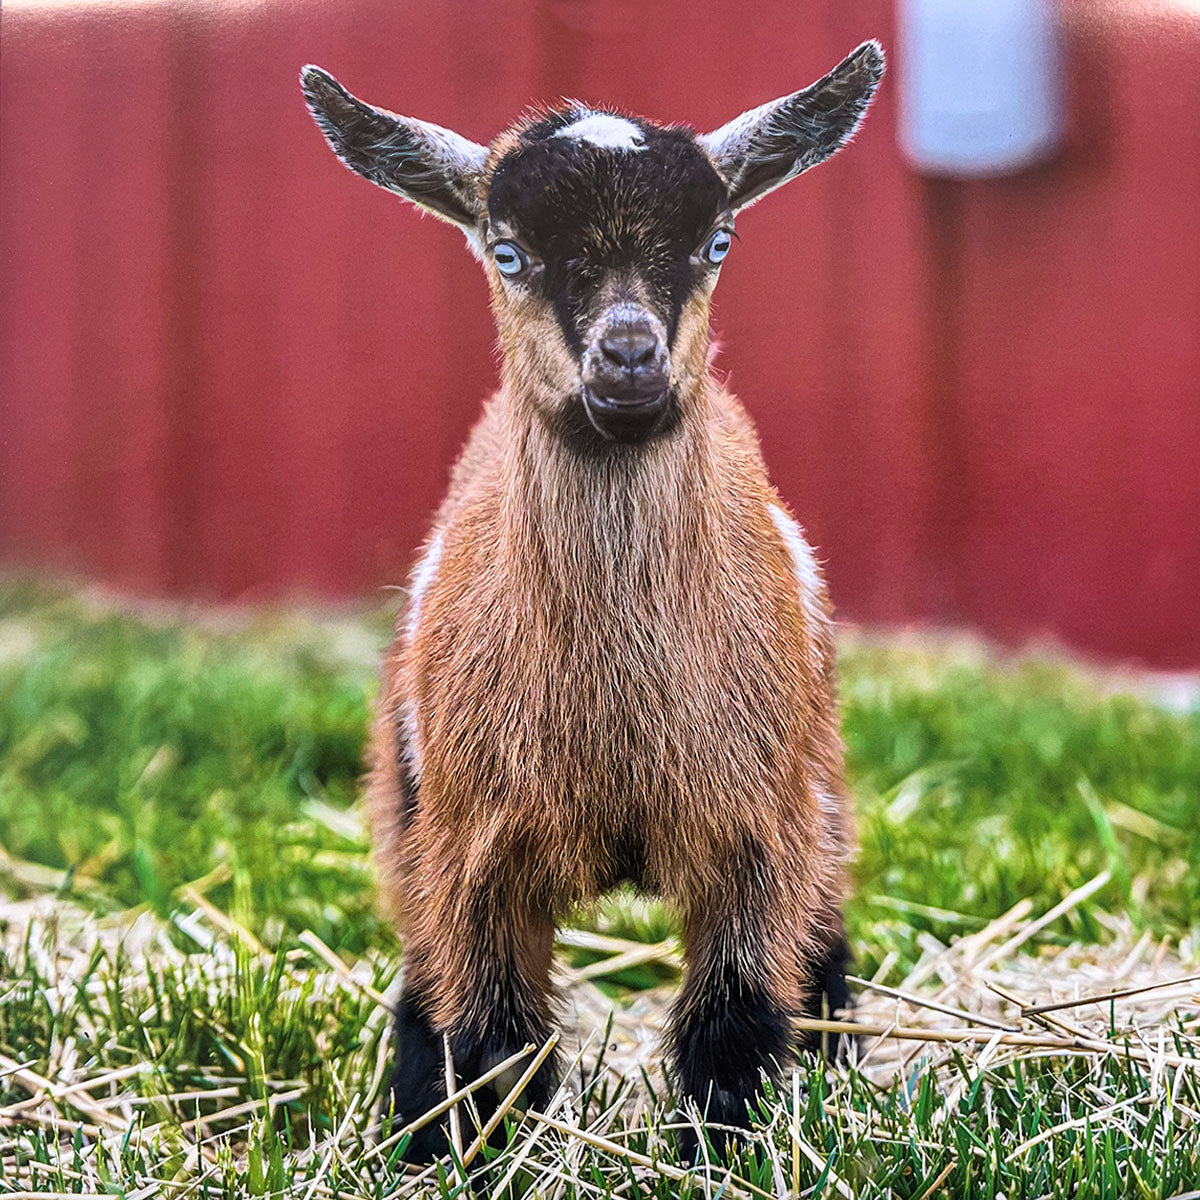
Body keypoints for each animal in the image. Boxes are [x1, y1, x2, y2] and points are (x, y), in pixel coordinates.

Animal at [301, 41, 884, 1163]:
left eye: (715, 241)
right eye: (508, 252)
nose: (629, 356)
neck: (616, 727)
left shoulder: (755, 835)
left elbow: (733, 1027)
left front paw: (726, 1155)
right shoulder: (476, 852)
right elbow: (492, 1040)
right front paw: (471, 1153)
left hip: (820, 780)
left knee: (823, 935)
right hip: (407, 801)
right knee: (424, 976)